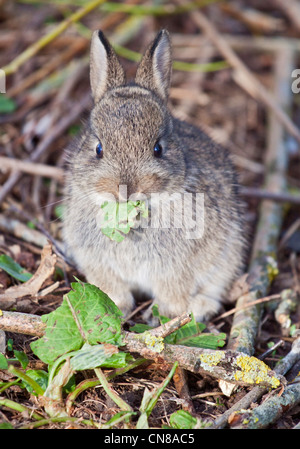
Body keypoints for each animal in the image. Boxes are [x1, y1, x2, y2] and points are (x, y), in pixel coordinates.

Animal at [62, 28, 245, 322]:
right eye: (98, 149)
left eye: (158, 149)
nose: (126, 189)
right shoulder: (97, 263)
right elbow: (111, 288)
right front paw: (118, 308)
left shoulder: (177, 268)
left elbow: (173, 293)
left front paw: (163, 315)